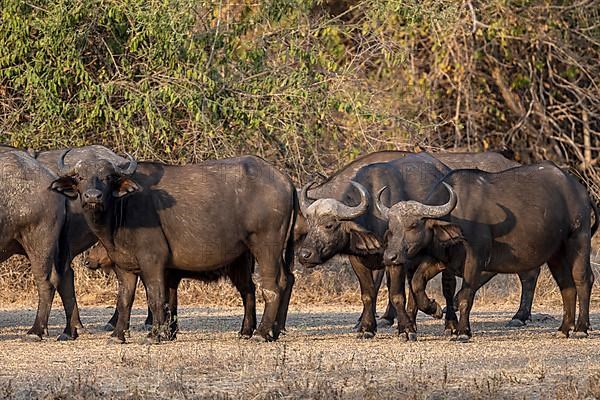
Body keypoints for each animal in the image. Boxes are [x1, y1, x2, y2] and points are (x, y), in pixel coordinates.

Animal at [85, 244, 254, 338]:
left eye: (101, 245)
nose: (87, 261)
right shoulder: (172, 280)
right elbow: (171, 305)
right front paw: (170, 332)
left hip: (239, 270)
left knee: (249, 292)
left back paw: (246, 331)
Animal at [378, 162, 596, 340]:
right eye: (391, 228)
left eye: (413, 225)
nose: (390, 257)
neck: (458, 216)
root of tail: (578, 189)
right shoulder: (443, 260)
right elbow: (416, 283)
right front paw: (434, 308)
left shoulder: (475, 260)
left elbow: (465, 295)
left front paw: (463, 332)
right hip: (555, 253)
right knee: (566, 285)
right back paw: (564, 329)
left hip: (578, 239)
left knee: (583, 279)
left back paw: (580, 329)